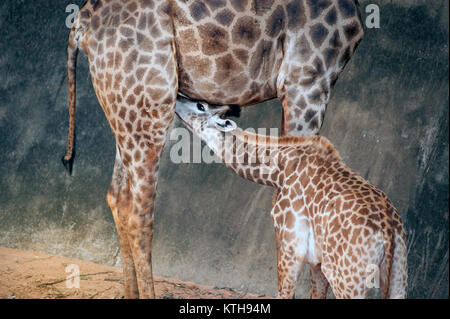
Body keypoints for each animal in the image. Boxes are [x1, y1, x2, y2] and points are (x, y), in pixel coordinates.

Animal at [63, 0, 364, 300]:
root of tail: (82, 21)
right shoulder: (307, 81)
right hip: (152, 101)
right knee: (140, 211)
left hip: (125, 105)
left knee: (118, 196)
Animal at [176, 97, 408, 300]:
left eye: (200, 105)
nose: (177, 97)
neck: (278, 169)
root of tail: (388, 228)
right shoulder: (317, 261)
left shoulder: (290, 244)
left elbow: (284, 293)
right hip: (398, 275)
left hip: (347, 277)